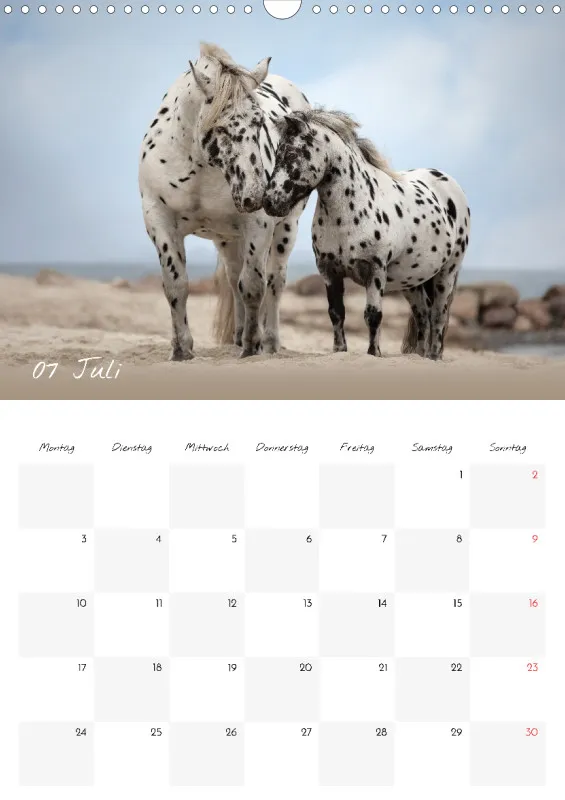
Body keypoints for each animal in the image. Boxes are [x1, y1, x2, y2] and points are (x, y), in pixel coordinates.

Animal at [138, 43, 310, 359]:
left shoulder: (258, 225)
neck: (199, 168)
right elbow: (176, 285)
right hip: (227, 238)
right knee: (233, 279)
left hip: (285, 229)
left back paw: (268, 342)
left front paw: (252, 348)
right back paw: (239, 336)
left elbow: (254, 285)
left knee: (274, 281)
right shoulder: (159, 220)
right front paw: (181, 350)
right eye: (220, 127)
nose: (256, 195)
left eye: (260, 122)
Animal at [263, 109, 471, 360]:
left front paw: (374, 353)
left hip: (447, 273)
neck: (348, 215)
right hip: (412, 281)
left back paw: (433, 357)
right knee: (423, 315)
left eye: (292, 153)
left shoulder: (375, 270)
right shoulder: (328, 271)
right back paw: (419, 356)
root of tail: (450, 184)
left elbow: (373, 315)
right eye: (276, 154)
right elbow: (336, 313)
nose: (269, 202)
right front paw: (339, 350)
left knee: (439, 315)